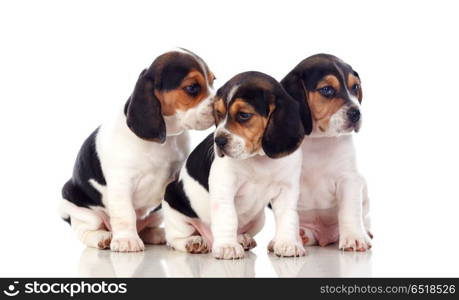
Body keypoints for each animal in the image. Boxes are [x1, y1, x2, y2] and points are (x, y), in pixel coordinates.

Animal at [60, 48, 217, 251]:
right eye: (192, 88)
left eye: (213, 81)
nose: (220, 106)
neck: (164, 140)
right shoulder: (121, 183)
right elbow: (125, 214)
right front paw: (126, 240)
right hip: (81, 209)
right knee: (87, 230)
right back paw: (103, 237)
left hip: (156, 213)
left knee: (147, 228)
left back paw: (163, 235)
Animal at [164, 71, 310, 258]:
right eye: (218, 113)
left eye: (243, 115)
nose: (218, 141)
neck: (259, 158)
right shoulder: (224, 189)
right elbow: (228, 218)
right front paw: (227, 246)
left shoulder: (287, 190)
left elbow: (288, 218)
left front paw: (287, 243)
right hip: (173, 205)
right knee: (175, 238)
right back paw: (194, 242)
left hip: (259, 219)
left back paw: (243, 239)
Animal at [280, 53, 374, 251]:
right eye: (327, 90)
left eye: (355, 87)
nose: (357, 113)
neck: (319, 141)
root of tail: (324, 237)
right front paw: (289, 242)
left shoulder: (349, 180)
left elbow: (349, 211)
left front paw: (354, 237)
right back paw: (303, 235)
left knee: (364, 217)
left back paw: (365, 233)